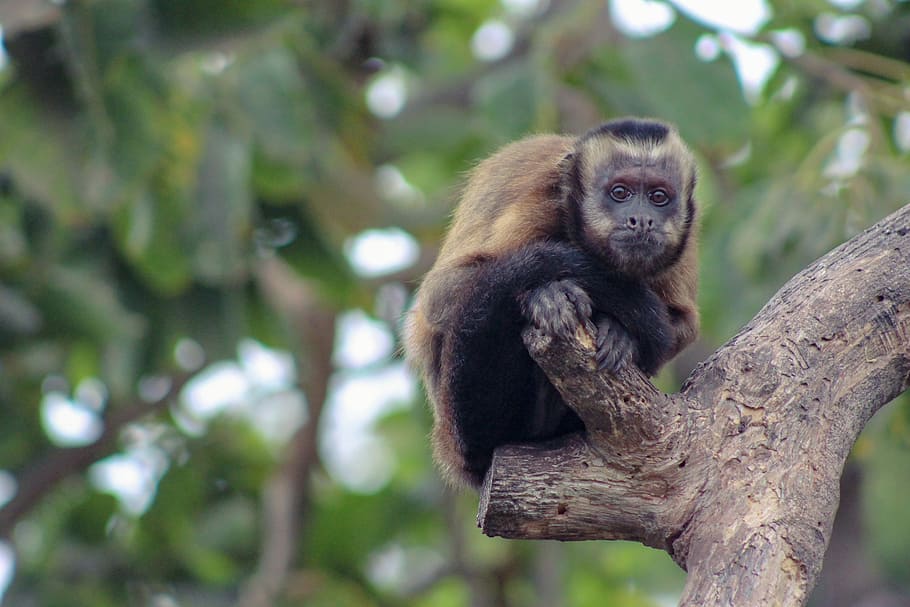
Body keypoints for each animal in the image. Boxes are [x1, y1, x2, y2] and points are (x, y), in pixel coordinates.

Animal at [403, 117, 699, 488]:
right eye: (620, 193)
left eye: (659, 197)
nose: (642, 219)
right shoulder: (540, 203)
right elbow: (440, 296)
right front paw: (543, 297)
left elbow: (683, 326)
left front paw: (621, 334)